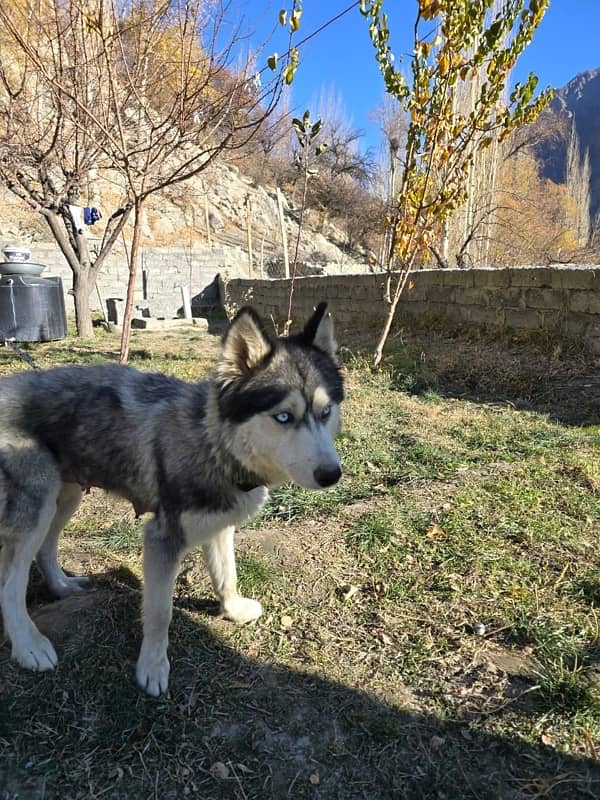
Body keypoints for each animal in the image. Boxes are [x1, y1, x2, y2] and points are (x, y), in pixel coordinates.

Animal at [0, 302, 342, 692]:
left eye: (326, 412)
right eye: (283, 417)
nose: (332, 475)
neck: (213, 442)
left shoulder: (220, 525)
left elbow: (226, 574)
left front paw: (233, 609)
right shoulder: (161, 539)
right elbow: (160, 612)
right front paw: (152, 666)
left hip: (66, 496)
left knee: (45, 547)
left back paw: (61, 586)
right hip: (37, 505)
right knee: (10, 584)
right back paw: (28, 645)